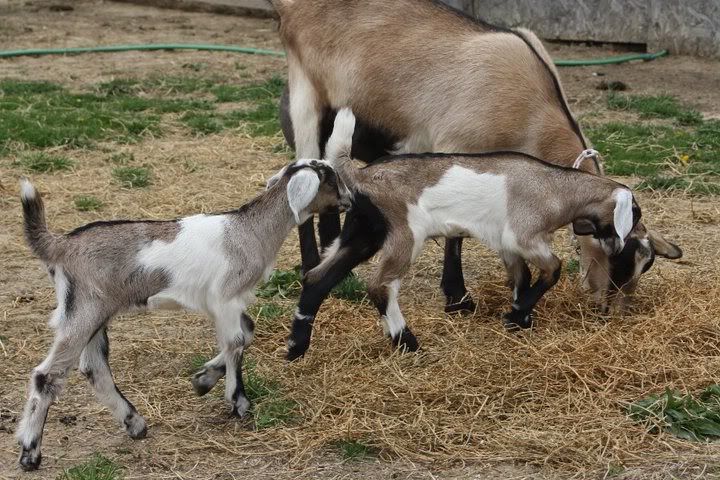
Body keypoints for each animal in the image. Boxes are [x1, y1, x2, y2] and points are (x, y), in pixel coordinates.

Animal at [15, 160, 350, 471]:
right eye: (332, 179)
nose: (349, 200)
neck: (249, 230)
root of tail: (62, 245)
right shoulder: (226, 297)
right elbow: (236, 342)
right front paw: (238, 402)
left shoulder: (222, 304)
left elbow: (247, 332)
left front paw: (204, 379)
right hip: (85, 310)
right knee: (47, 375)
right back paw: (30, 452)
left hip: (93, 312)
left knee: (94, 369)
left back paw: (134, 423)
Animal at [271, 0, 682, 319]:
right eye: (616, 252)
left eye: (645, 265)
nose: (609, 309)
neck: (532, 104)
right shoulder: (455, 146)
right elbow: (456, 231)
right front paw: (458, 298)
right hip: (306, 98)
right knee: (302, 174)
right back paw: (312, 264)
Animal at [287, 110, 644, 359]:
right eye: (634, 217)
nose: (616, 246)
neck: (555, 188)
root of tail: (361, 175)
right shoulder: (524, 236)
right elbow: (552, 269)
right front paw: (516, 315)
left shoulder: (507, 245)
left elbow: (522, 277)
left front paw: (521, 318)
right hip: (405, 234)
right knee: (380, 286)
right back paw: (407, 343)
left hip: (361, 234)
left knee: (318, 277)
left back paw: (296, 347)